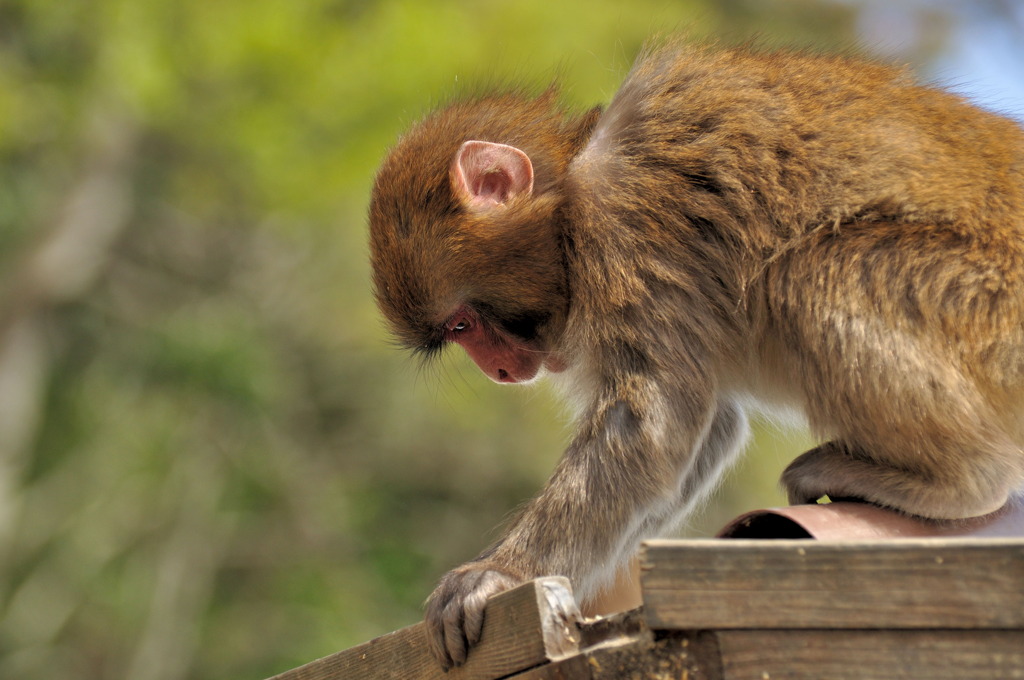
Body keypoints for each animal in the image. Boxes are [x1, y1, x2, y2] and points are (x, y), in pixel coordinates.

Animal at [368, 43, 1024, 667]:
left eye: (464, 323)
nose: (501, 371)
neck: (571, 188)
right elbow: (710, 424)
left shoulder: (625, 216)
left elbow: (648, 422)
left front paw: (498, 575)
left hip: (983, 310)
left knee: (809, 272)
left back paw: (960, 485)